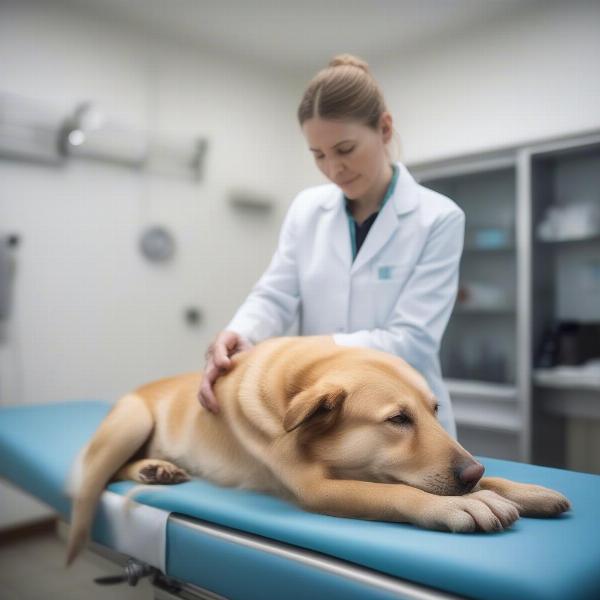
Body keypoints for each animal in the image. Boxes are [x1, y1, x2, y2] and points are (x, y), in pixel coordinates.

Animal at [68, 336, 568, 564]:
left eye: (434, 411)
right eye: (398, 420)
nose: (471, 472)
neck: (298, 379)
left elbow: (492, 479)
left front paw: (522, 490)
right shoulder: (316, 489)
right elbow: (399, 493)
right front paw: (462, 505)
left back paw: (158, 469)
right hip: (133, 420)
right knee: (106, 471)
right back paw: (151, 469)